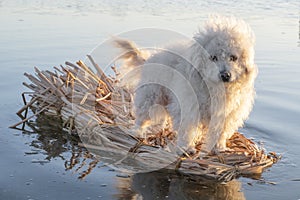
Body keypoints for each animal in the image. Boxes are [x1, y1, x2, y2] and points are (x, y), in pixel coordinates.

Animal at [113, 16, 256, 155]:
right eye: (213, 57)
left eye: (233, 57)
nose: (225, 75)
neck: (215, 88)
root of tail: (150, 59)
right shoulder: (189, 109)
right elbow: (187, 130)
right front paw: (186, 148)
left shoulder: (226, 116)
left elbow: (220, 133)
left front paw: (218, 148)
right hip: (151, 96)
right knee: (141, 117)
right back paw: (136, 132)